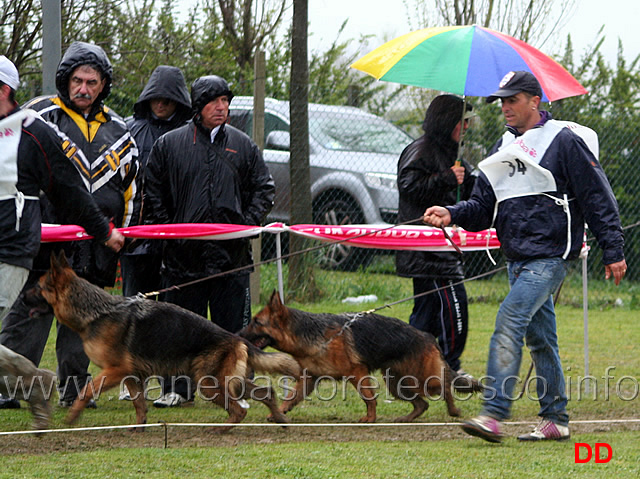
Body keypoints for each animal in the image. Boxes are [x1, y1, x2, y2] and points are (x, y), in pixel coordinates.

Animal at [36, 255, 302, 432]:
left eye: (37, 288)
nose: (25, 295)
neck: (97, 313)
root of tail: (236, 338)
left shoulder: (116, 370)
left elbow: (86, 390)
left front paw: (72, 418)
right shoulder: (130, 375)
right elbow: (139, 404)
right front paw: (139, 428)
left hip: (208, 383)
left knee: (239, 409)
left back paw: (222, 429)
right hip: (225, 381)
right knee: (265, 392)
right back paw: (280, 419)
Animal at [240, 292, 480, 424]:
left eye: (256, 322)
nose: (239, 335)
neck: (311, 334)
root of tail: (428, 337)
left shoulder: (357, 373)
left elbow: (368, 398)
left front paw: (370, 419)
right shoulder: (309, 378)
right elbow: (291, 397)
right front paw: (279, 412)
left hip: (423, 380)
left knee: (445, 386)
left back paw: (453, 410)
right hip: (398, 384)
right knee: (422, 404)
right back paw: (406, 419)